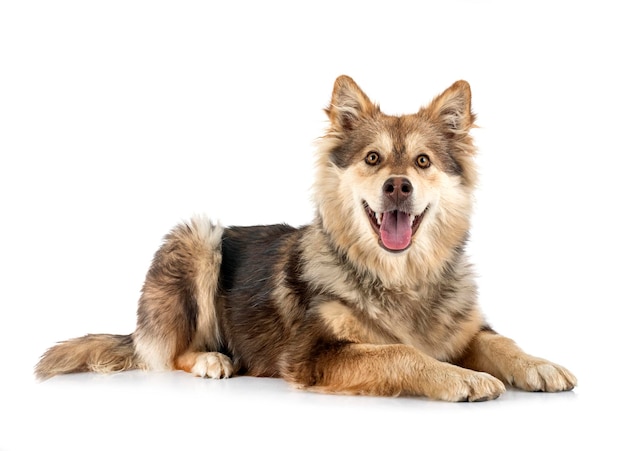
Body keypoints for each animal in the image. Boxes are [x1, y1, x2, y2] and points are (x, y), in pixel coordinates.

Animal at [35, 77, 576, 402]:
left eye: (423, 162)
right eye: (374, 159)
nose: (398, 186)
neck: (398, 276)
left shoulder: (464, 328)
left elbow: (498, 340)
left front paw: (539, 364)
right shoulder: (313, 355)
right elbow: (399, 353)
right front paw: (464, 377)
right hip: (196, 240)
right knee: (166, 352)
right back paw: (213, 358)